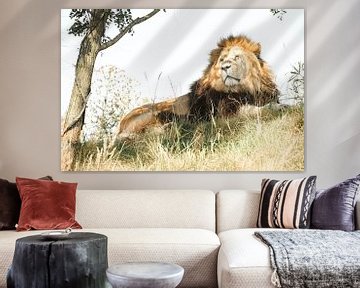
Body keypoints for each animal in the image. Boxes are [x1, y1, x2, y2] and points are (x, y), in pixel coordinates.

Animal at [116, 34, 280, 138]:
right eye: (222, 60)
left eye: (237, 57)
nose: (225, 67)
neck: (244, 89)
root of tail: (120, 125)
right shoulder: (224, 114)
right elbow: (252, 109)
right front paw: (276, 107)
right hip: (152, 112)